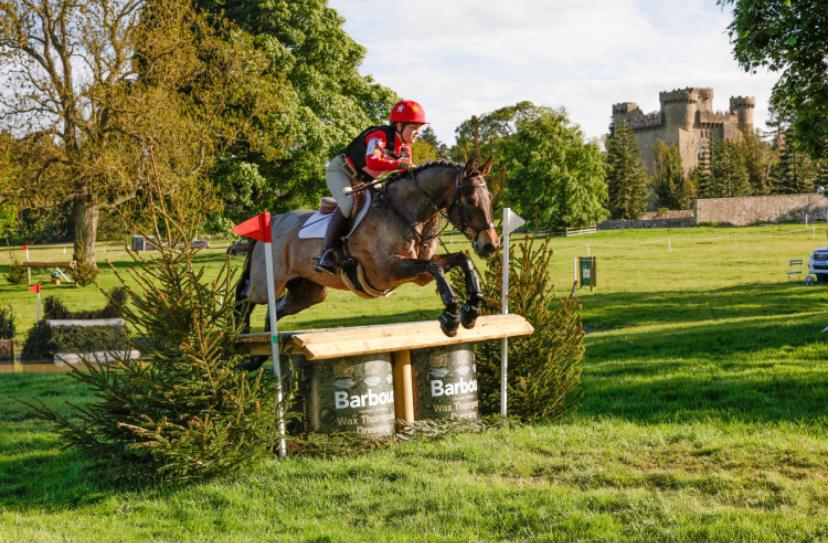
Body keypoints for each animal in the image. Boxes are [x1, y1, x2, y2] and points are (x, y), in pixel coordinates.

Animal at [234, 157, 498, 370]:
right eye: (470, 199)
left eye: (490, 198)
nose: (491, 245)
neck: (407, 211)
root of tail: (274, 221)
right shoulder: (386, 271)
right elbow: (436, 268)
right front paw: (451, 317)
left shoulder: (418, 271)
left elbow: (459, 259)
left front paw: (471, 311)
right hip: (267, 282)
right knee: (245, 297)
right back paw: (237, 341)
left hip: (308, 293)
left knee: (274, 311)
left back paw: (256, 355)